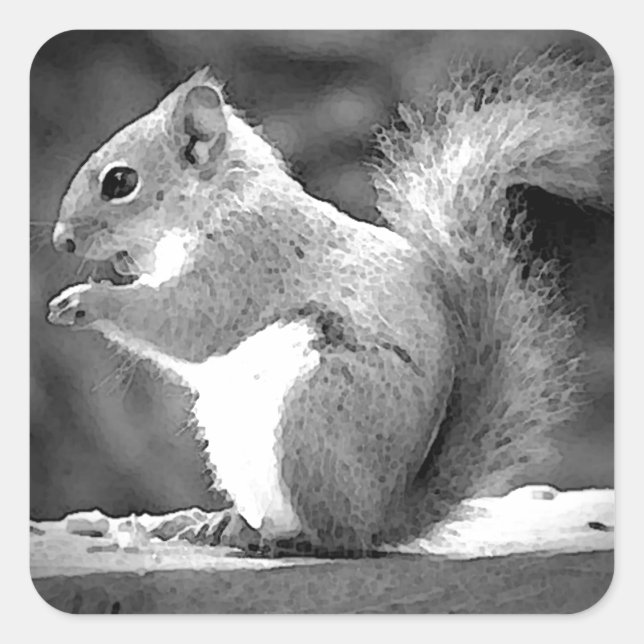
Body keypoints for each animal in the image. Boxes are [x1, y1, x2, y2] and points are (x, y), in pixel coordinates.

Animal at [46, 47, 613, 557]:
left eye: (120, 181)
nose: (61, 241)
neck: (218, 199)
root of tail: (383, 519)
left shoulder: (247, 258)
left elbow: (187, 323)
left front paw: (88, 299)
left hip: (315, 418)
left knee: (335, 537)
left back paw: (281, 537)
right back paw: (220, 523)